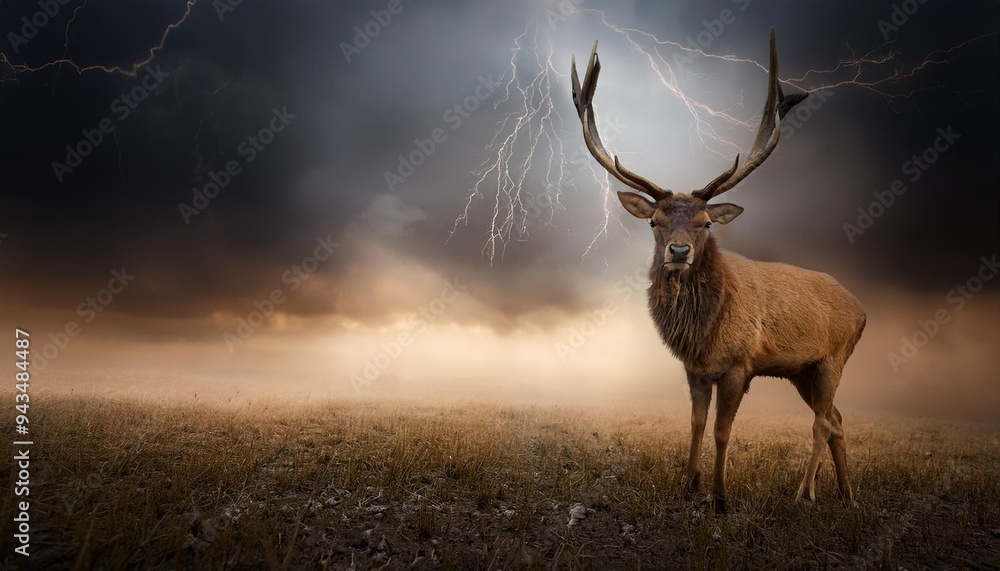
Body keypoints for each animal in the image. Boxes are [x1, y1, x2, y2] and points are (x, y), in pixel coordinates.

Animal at [570, 29, 866, 513]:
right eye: (654, 221)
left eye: (707, 222)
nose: (678, 250)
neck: (703, 334)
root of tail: (863, 311)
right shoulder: (694, 369)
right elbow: (694, 423)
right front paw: (687, 484)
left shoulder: (738, 365)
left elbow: (723, 430)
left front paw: (720, 496)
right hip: (801, 371)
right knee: (838, 418)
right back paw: (846, 493)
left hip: (832, 358)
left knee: (823, 422)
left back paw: (805, 493)